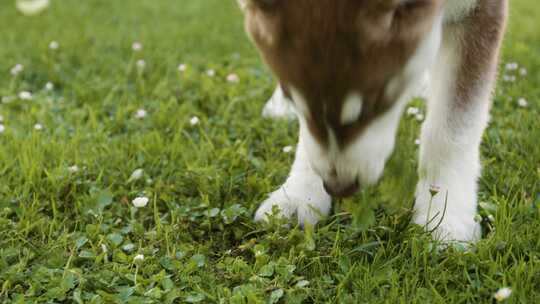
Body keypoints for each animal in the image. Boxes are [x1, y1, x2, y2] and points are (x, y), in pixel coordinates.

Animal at [236, 0, 506, 242]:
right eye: (293, 99)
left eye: (375, 103)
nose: (339, 188)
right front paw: (300, 193)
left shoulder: (481, 12)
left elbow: (453, 128)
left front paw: (446, 217)